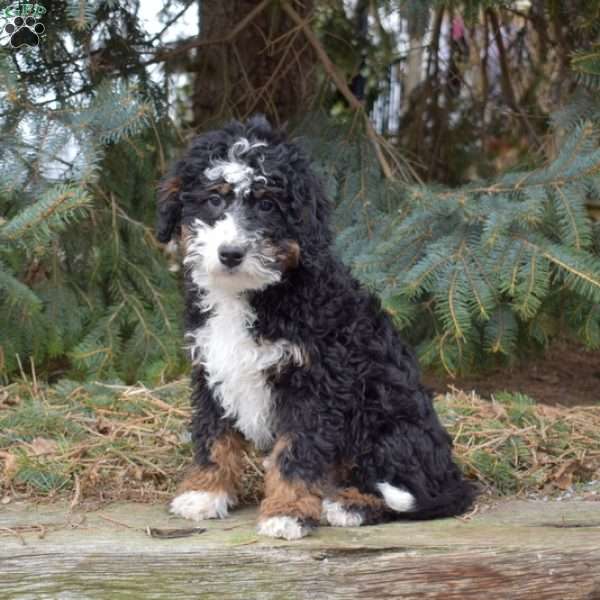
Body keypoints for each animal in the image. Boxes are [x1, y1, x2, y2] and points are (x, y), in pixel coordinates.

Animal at [157, 116, 476, 540]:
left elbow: (296, 452)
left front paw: (287, 512)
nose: (230, 254)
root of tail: (453, 478)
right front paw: (206, 493)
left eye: (267, 204)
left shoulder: (314, 382)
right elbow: (214, 437)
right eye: (214, 199)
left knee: (406, 489)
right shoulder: (212, 369)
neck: (254, 294)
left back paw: (349, 504)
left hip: (388, 424)